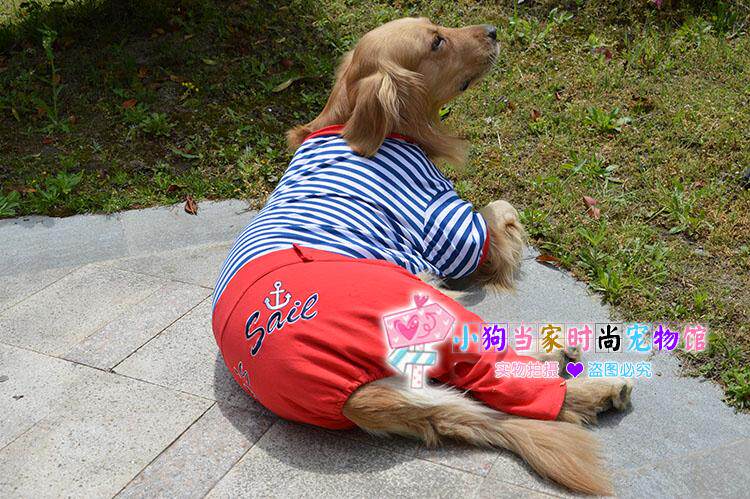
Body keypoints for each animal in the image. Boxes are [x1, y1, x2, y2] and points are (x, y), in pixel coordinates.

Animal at [213, 17, 632, 496]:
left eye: (439, 26)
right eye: (436, 42)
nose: (493, 30)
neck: (350, 119)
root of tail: (354, 398)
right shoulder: (451, 224)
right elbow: (498, 210)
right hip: (439, 319)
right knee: (513, 383)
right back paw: (598, 388)